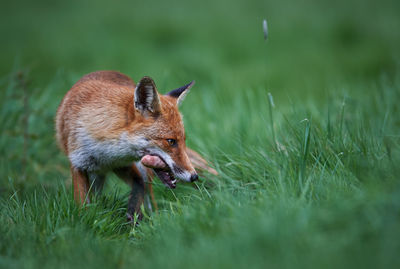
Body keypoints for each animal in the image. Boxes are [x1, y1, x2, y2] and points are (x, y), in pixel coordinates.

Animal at [56, 70, 216, 219]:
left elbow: (139, 187)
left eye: (183, 140)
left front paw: (135, 218)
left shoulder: (123, 165)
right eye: (171, 141)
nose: (194, 176)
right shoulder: (78, 164)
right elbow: (83, 207)